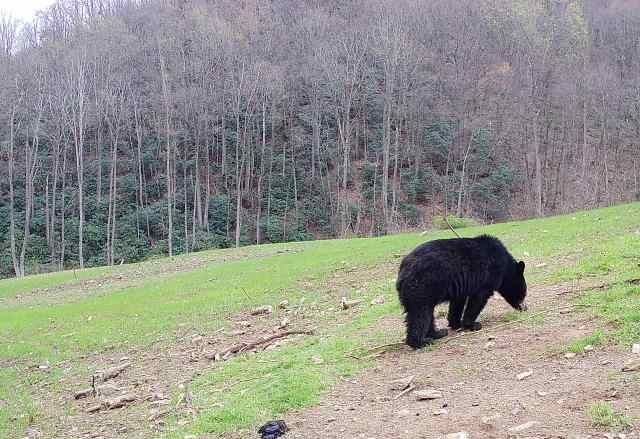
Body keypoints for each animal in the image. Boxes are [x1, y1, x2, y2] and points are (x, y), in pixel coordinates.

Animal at [396, 234, 527, 349]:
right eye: (524, 293)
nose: (525, 308)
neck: (505, 267)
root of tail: (402, 270)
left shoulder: (461, 285)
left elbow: (457, 304)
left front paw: (456, 323)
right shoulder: (486, 277)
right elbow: (478, 300)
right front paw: (472, 325)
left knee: (427, 313)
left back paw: (438, 333)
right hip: (422, 286)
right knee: (420, 314)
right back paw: (421, 342)